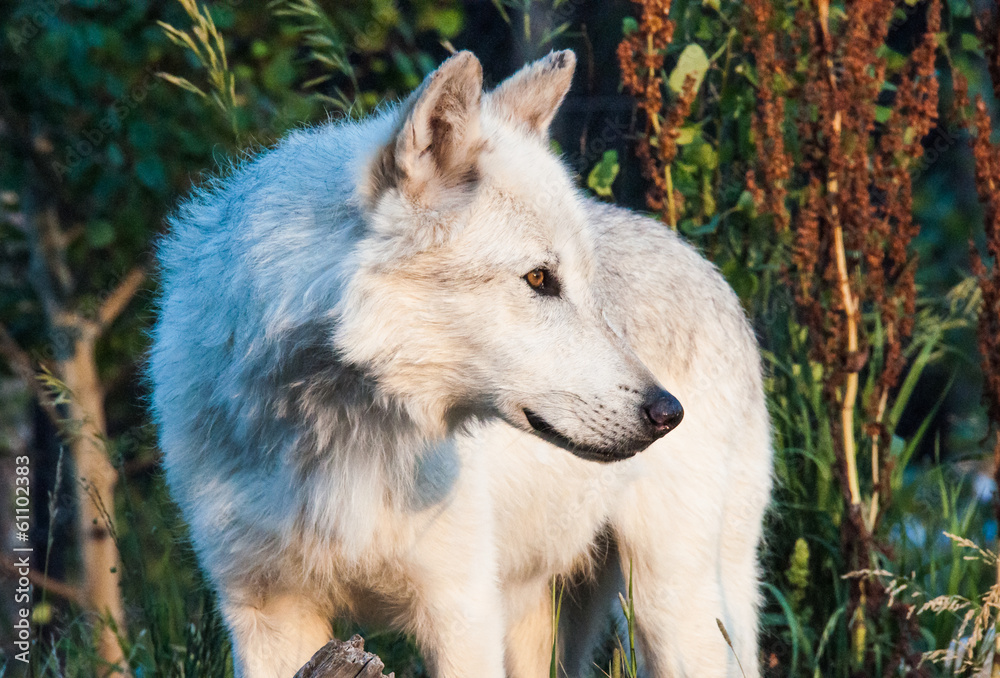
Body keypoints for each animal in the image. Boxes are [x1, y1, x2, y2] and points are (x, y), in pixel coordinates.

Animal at [149, 49, 772, 678]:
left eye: (588, 287)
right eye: (540, 279)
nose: (668, 412)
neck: (334, 431)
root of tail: (705, 267)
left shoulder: (462, 611)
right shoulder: (265, 617)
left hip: (670, 608)